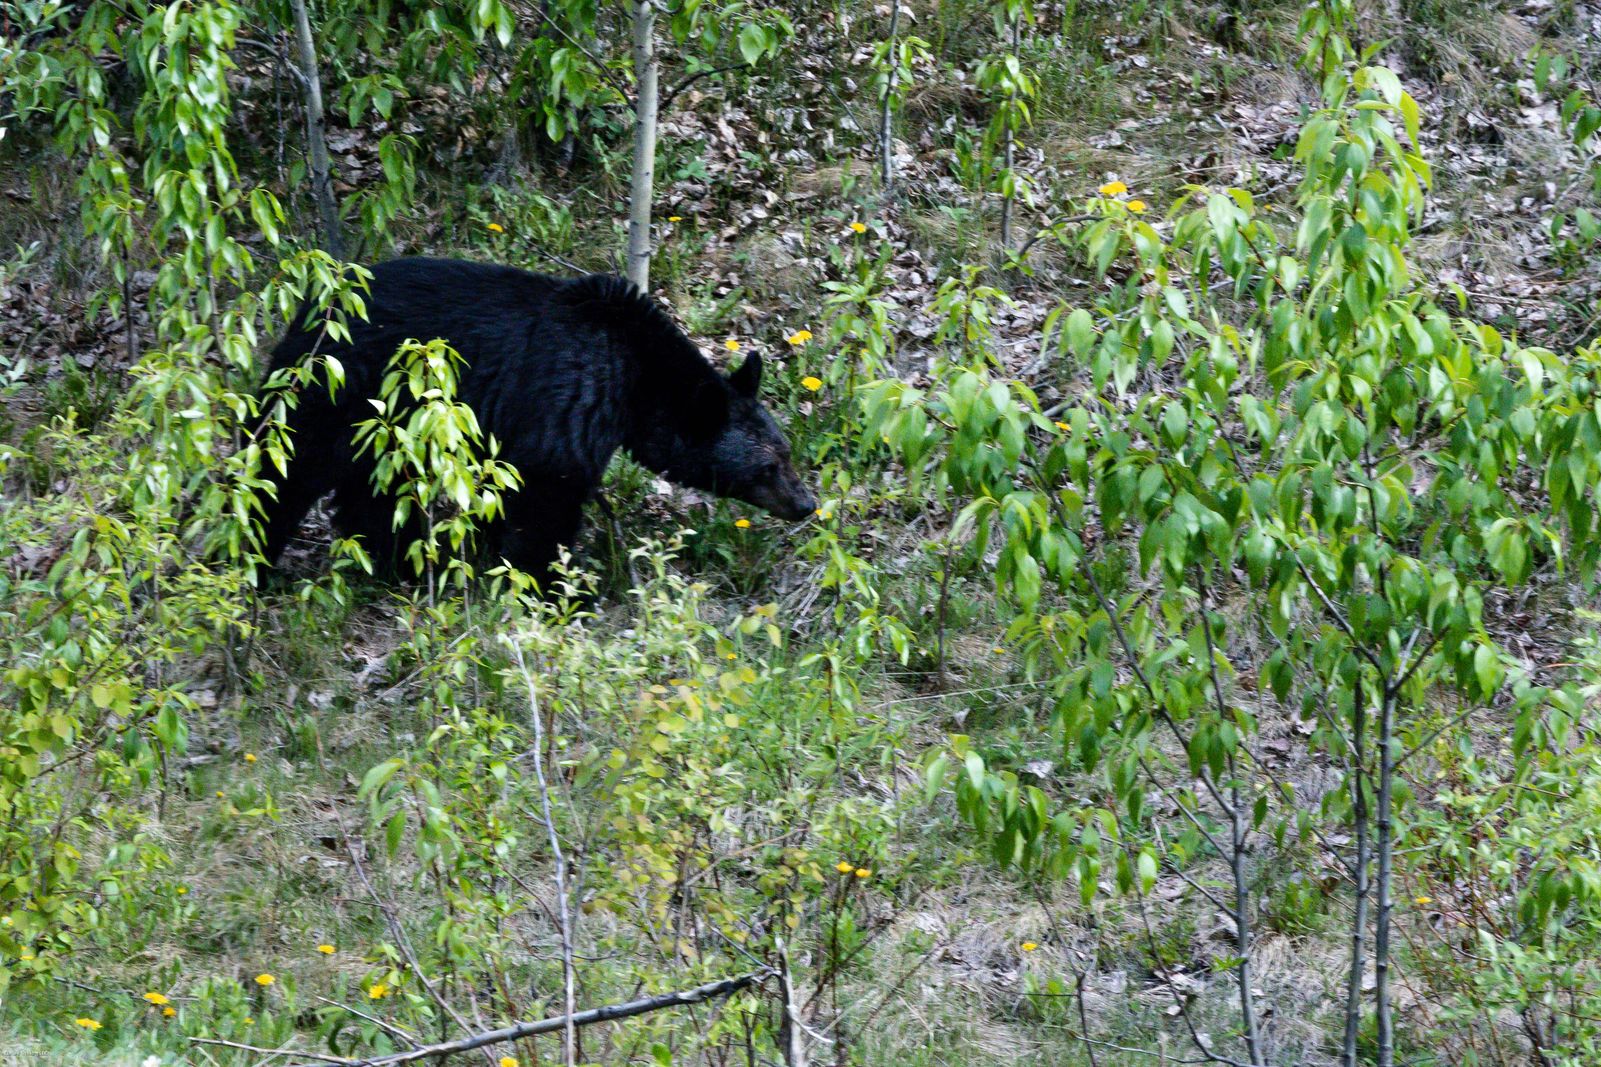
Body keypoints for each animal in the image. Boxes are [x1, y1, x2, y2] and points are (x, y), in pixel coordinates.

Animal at [262, 256, 819, 583]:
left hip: (387, 425)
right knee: (289, 467)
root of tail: (314, 304)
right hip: (339, 389)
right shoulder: (567, 397)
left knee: (374, 490)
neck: (636, 377)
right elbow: (546, 496)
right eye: (770, 466)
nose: (807, 503)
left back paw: (395, 561)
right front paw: (549, 584)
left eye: (786, 451)